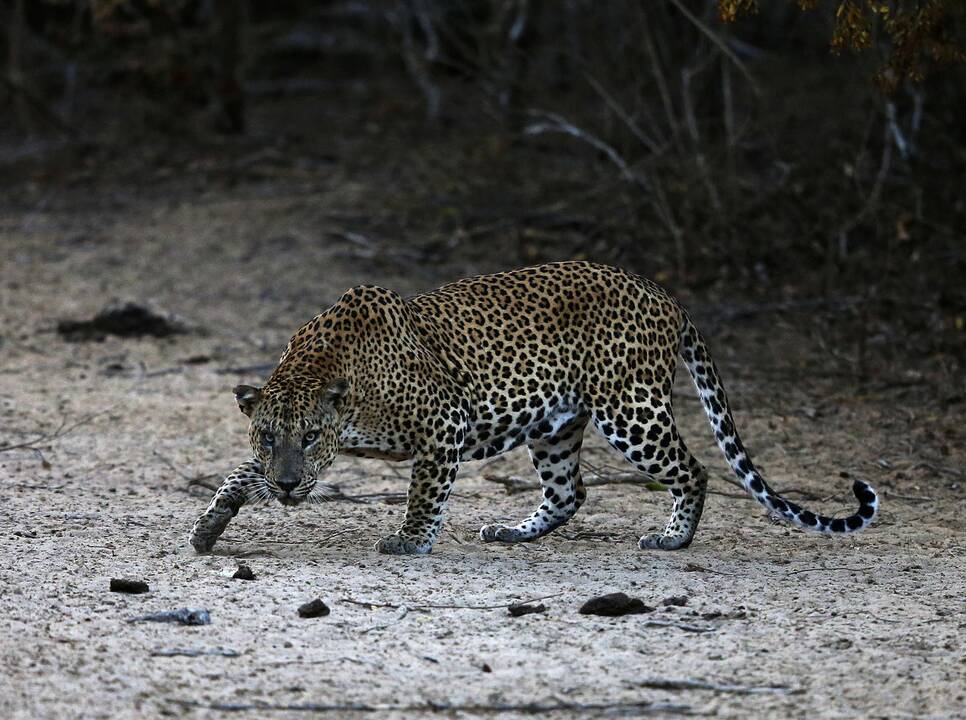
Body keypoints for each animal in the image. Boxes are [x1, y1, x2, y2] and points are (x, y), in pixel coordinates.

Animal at [187, 262, 876, 556]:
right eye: (270, 437)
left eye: (309, 436)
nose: (288, 483)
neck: (336, 375)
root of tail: (663, 293)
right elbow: (238, 476)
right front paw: (211, 523)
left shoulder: (443, 426)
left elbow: (423, 493)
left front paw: (410, 541)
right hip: (554, 425)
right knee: (571, 491)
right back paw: (514, 531)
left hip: (631, 408)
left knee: (694, 469)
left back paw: (674, 538)